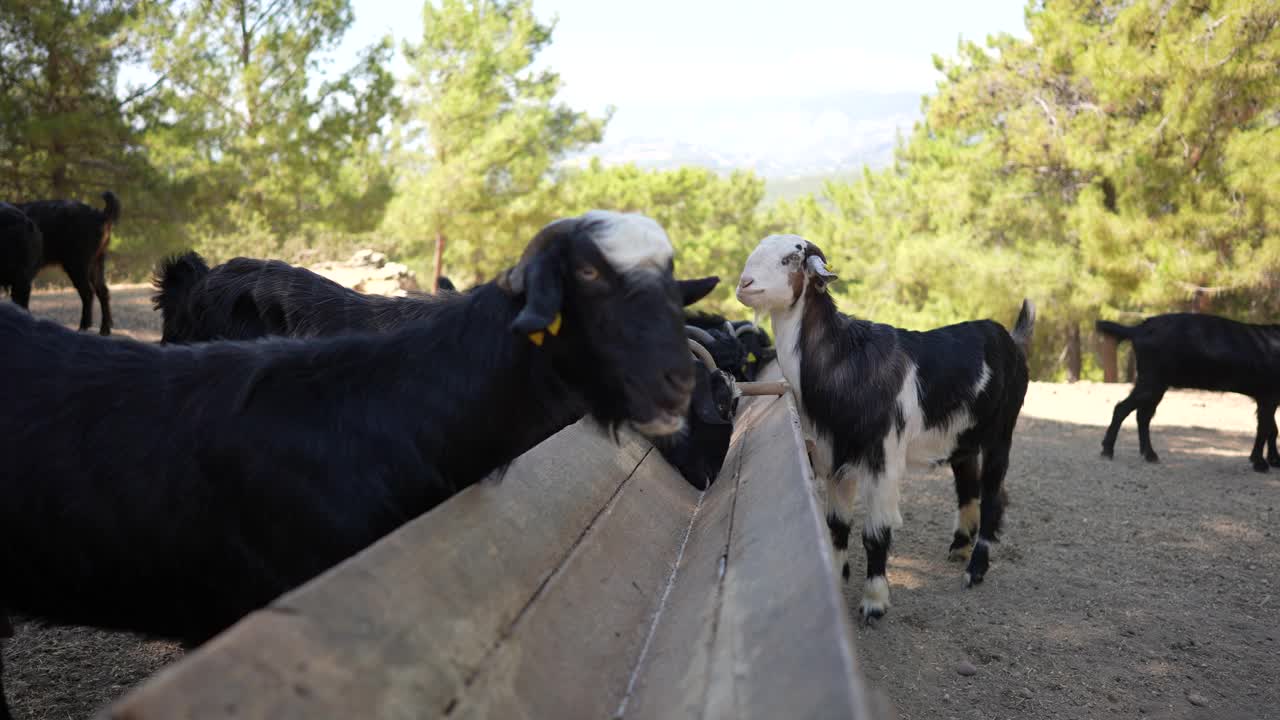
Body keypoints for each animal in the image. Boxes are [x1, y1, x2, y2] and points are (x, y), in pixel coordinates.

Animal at [12, 190, 118, 335]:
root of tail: (100, 215)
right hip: (96, 262)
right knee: (103, 291)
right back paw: (104, 330)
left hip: (77, 264)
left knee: (88, 293)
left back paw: (82, 328)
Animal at [737, 234, 1034, 617]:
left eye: (790, 258)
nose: (745, 285)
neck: (847, 359)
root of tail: (1011, 338)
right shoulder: (835, 456)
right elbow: (837, 525)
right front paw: (836, 576)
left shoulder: (882, 458)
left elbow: (876, 533)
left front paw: (874, 601)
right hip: (962, 438)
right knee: (967, 486)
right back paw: (958, 547)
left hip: (1002, 431)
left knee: (993, 495)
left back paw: (975, 569)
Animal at [1095, 312, 1280, 471]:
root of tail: (1139, 329)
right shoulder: (1268, 397)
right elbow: (1264, 428)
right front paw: (1260, 462)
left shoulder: (1271, 399)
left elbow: (1272, 429)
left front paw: (1274, 460)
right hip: (1151, 383)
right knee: (1122, 409)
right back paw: (1108, 450)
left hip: (1157, 386)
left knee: (1143, 416)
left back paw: (1149, 454)